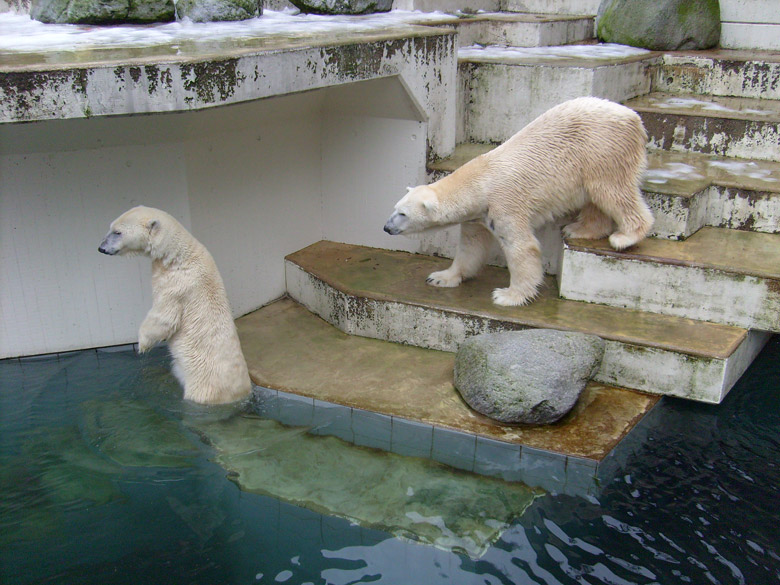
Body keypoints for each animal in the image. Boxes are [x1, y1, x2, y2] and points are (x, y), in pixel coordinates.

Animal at [96, 206, 251, 406]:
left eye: (117, 232)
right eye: (111, 228)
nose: (101, 248)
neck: (180, 255)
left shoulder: (178, 285)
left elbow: (164, 317)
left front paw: (142, 345)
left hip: (203, 385)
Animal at [382, 96, 652, 306]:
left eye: (403, 214)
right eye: (394, 207)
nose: (386, 227)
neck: (480, 181)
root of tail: (634, 117)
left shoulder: (504, 205)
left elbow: (522, 247)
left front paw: (508, 295)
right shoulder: (477, 216)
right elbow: (471, 246)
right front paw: (441, 277)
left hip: (602, 148)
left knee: (612, 190)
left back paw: (625, 236)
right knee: (596, 198)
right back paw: (580, 229)